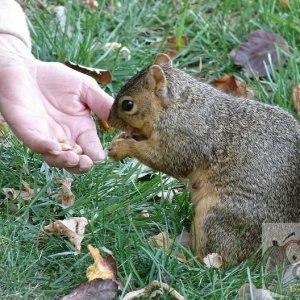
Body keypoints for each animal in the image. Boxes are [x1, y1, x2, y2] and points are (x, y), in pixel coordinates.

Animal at [106, 54, 298, 264]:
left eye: (127, 105)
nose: (109, 120)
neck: (178, 106)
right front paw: (122, 138)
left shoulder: (184, 140)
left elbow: (166, 160)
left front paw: (121, 148)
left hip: (215, 217)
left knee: (211, 257)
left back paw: (173, 250)